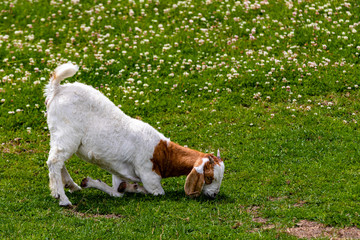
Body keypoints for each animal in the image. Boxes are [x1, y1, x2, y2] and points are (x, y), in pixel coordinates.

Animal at [44, 62, 225, 207]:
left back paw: (71, 186)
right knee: (54, 161)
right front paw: (131, 187)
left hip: (59, 135)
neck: (163, 153)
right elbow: (150, 191)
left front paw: (96, 183)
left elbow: (117, 190)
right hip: (67, 134)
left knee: (58, 161)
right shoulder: (149, 177)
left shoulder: (117, 170)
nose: (214, 195)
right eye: (209, 178)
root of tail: (57, 89)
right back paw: (62, 198)